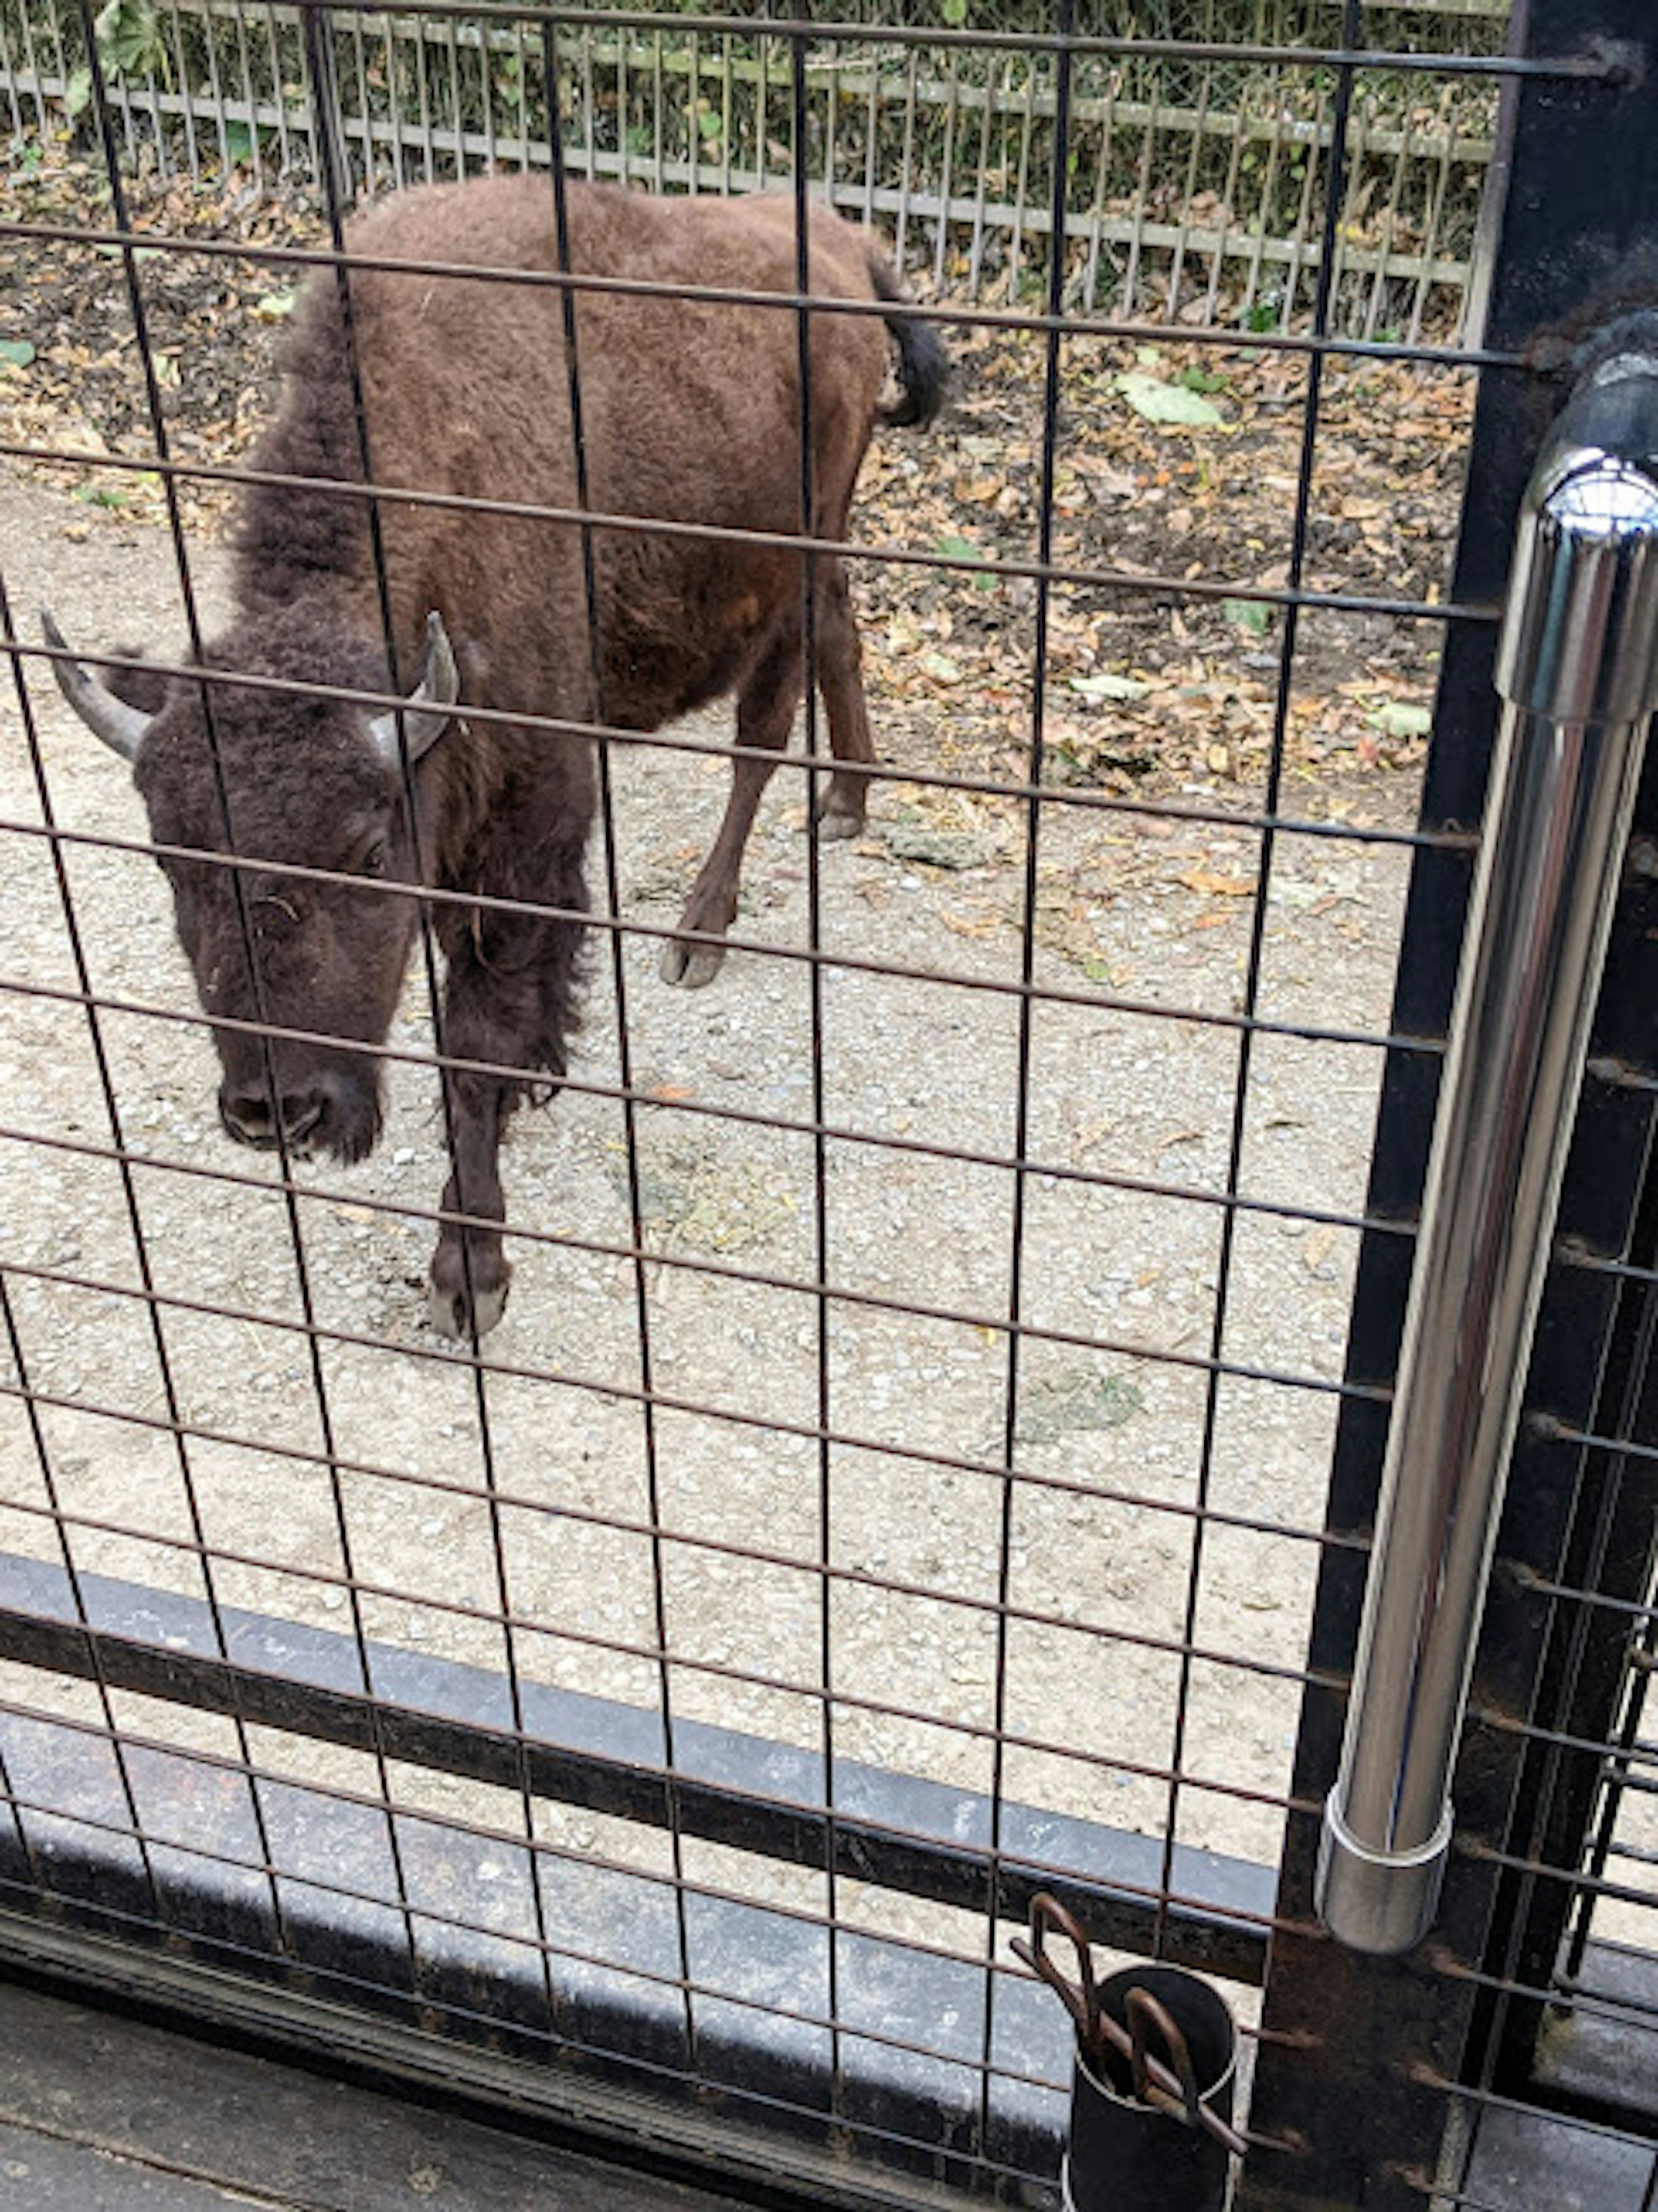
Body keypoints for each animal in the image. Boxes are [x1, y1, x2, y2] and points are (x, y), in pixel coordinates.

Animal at [42, 168, 946, 1327]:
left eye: (367, 850)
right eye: (171, 860)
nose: (275, 1110)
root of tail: (843, 243)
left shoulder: (526, 822)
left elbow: (472, 1042)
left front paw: (467, 1272)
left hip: (793, 553)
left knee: (762, 731)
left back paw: (702, 929)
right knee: (841, 626)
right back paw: (848, 801)